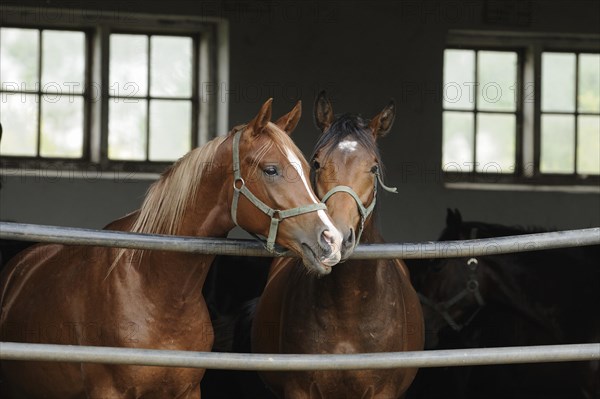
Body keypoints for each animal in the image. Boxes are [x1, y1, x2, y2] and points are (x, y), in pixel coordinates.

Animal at [0, 100, 344, 399]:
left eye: (307, 167)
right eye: (271, 169)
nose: (330, 239)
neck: (157, 290)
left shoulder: (187, 390)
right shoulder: (108, 391)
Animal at [251, 93, 424, 399]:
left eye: (374, 167)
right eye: (317, 163)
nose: (337, 238)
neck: (348, 306)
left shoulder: (383, 391)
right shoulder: (298, 389)